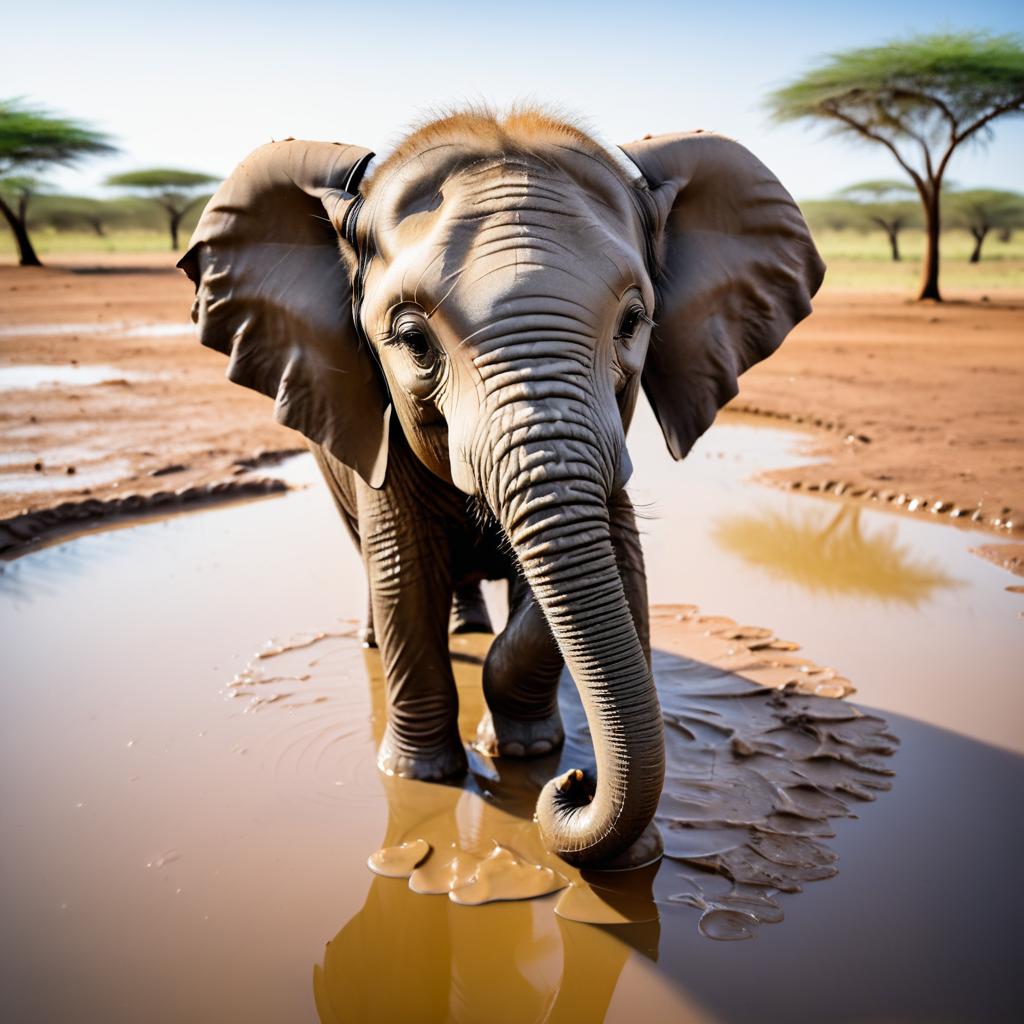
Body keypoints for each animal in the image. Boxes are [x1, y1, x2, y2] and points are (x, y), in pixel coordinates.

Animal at [182, 110, 823, 864]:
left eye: (633, 322)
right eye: (412, 342)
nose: (577, 781)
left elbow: (614, 560)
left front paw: (529, 757)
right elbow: (405, 572)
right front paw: (422, 778)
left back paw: (475, 635)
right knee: (375, 563)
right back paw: (382, 643)